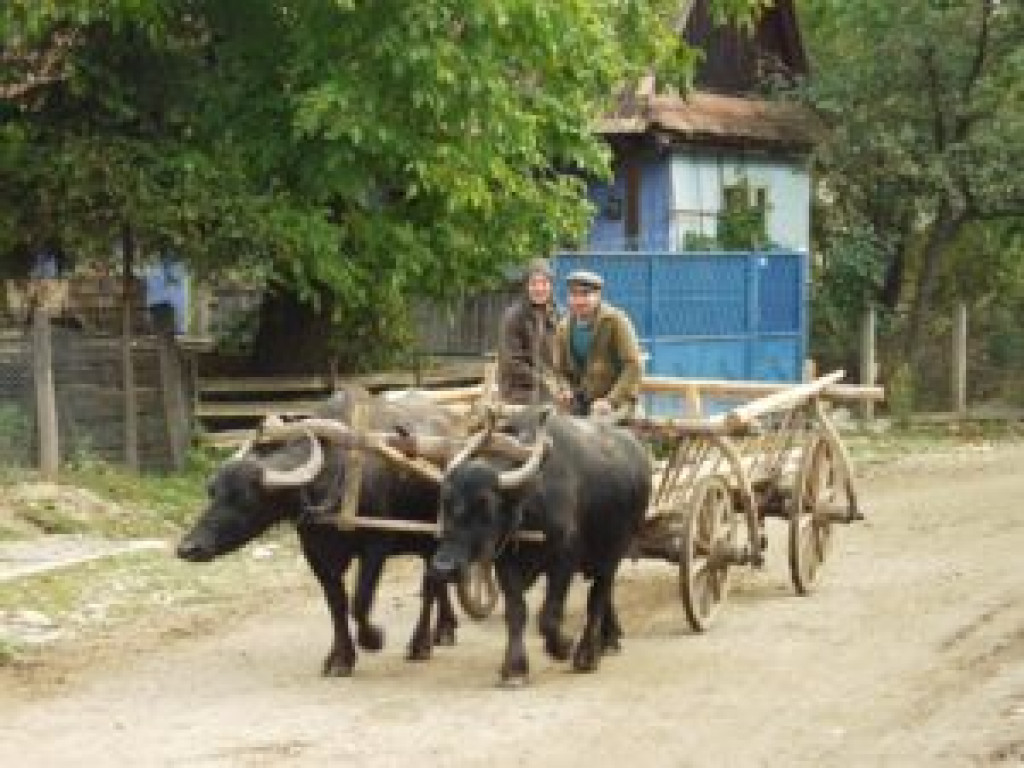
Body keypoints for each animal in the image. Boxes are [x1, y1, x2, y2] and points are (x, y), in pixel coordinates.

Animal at [178, 387, 462, 675]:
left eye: (244, 500)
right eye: (212, 492)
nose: (188, 548)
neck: (337, 476)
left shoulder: (377, 546)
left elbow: (359, 602)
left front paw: (373, 639)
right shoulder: (315, 553)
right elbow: (336, 603)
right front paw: (340, 658)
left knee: (429, 588)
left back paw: (420, 644)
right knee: (438, 581)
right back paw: (444, 629)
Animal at [428, 409, 651, 684]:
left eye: (486, 506)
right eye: (445, 502)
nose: (443, 568)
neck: (530, 504)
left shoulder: (564, 560)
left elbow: (549, 616)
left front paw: (564, 646)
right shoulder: (505, 563)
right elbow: (516, 613)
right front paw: (514, 669)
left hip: (615, 549)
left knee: (598, 595)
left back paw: (587, 655)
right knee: (604, 593)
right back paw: (609, 641)